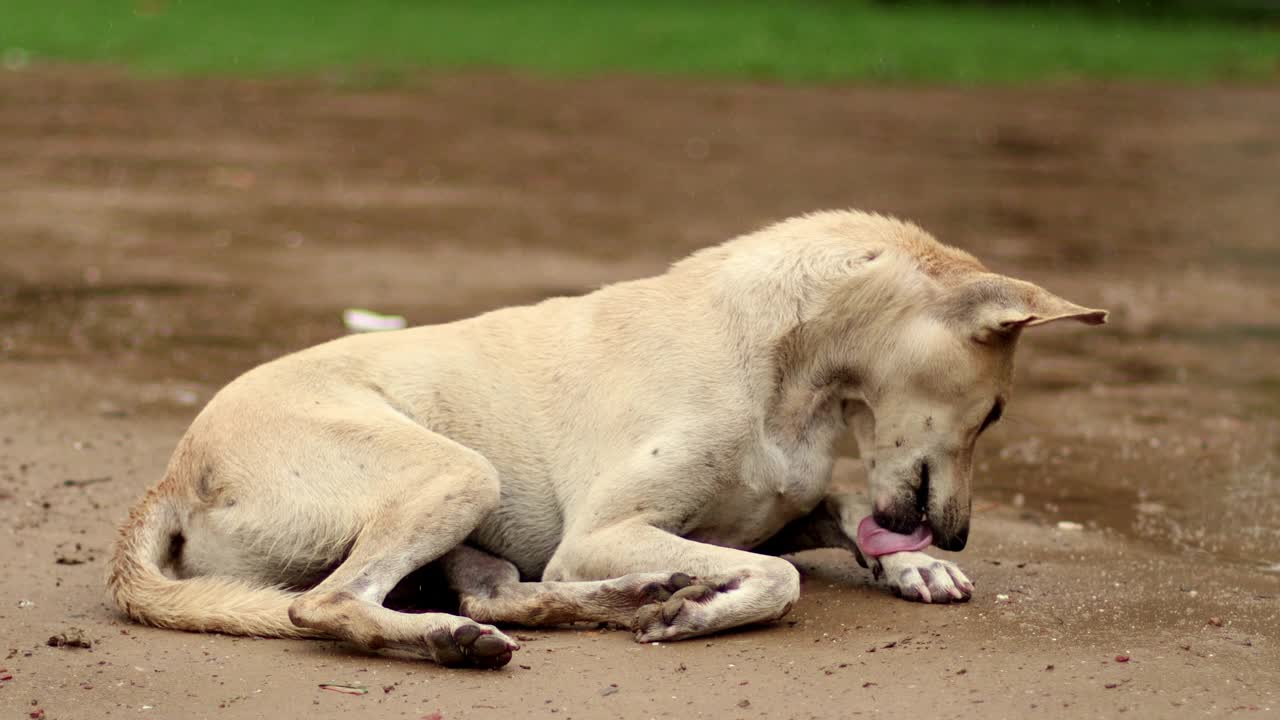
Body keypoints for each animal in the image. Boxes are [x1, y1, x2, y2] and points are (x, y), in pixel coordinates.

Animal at [107, 208, 1111, 666]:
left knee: (508, 595)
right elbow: (780, 577)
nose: (959, 537)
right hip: (457, 473)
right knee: (327, 606)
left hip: (470, 516)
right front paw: (708, 607)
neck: (788, 368)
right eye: (996, 413)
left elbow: (834, 515)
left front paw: (915, 568)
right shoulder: (606, 530)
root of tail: (173, 475)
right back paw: (459, 637)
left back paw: (634, 596)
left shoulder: (794, 505)